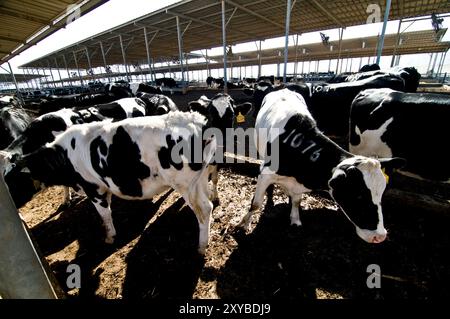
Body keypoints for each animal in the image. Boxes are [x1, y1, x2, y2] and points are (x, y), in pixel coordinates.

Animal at [0, 93, 253, 255]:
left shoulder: (94, 188)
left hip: (185, 185)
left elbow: (104, 215)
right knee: (207, 201)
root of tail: (195, 120)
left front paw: (109, 237)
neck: (64, 153)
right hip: (196, 181)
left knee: (204, 210)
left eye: (12, 180)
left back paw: (201, 246)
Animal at [241, 89, 406, 244]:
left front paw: (295, 219)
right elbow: (255, 204)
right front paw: (244, 223)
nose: (380, 236)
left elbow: (296, 201)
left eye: (381, 194)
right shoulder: (265, 173)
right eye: (358, 195)